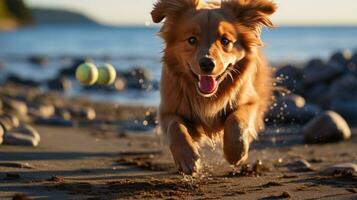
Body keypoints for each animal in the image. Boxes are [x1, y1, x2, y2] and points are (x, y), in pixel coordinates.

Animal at [150, 0, 276, 175]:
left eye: (225, 41)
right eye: (191, 40)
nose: (207, 63)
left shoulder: (251, 101)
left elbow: (236, 119)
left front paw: (235, 152)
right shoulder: (167, 109)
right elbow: (176, 127)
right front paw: (186, 158)